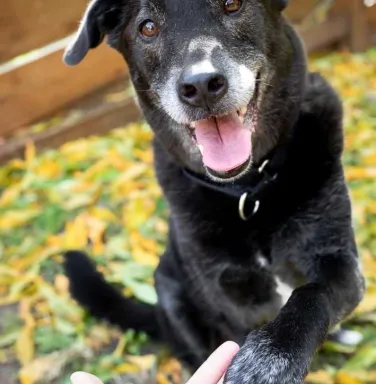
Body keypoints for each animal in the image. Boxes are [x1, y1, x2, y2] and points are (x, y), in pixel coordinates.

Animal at [63, 1, 366, 382]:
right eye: (147, 27)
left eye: (233, 5)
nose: (201, 85)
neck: (247, 191)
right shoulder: (230, 302)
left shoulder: (339, 260)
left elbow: (313, 294)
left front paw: (273, 355)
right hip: (170, 292)